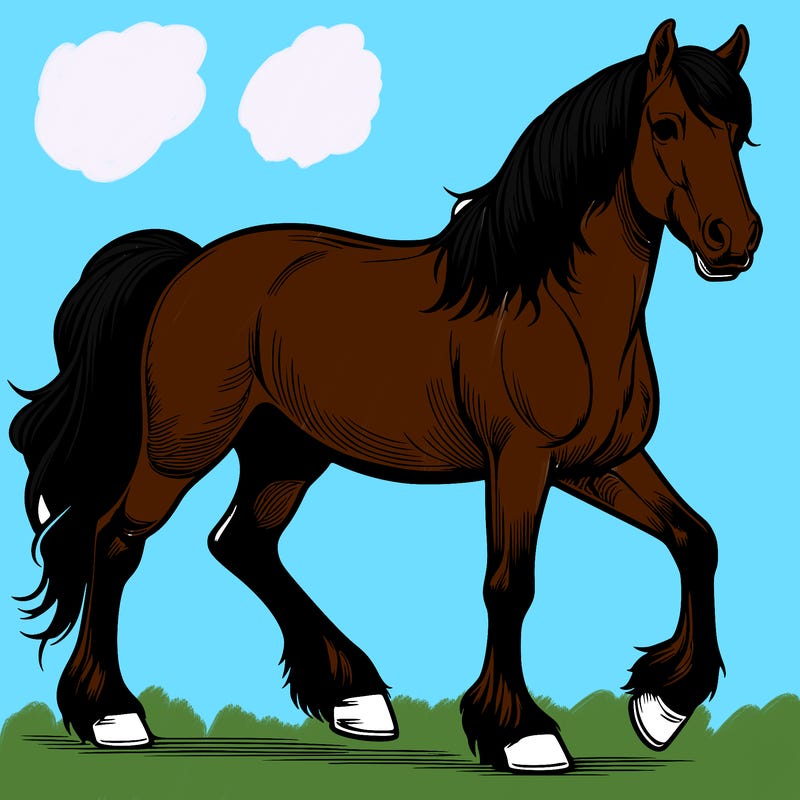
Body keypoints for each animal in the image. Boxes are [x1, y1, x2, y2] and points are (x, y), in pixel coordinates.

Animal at [10, 19, 760, 773]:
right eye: (665, 125)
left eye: (741, 132)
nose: (736, 239)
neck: (553, 305)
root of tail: (188, 265)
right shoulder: (520, 462)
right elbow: (509, 585)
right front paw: (522, 733)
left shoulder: (597, 462)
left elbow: (696, 538)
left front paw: (664, 706)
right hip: (182, 447)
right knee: (115, 540)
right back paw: (112, 715)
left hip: (286, 451)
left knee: (243, 542)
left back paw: (355, 697)